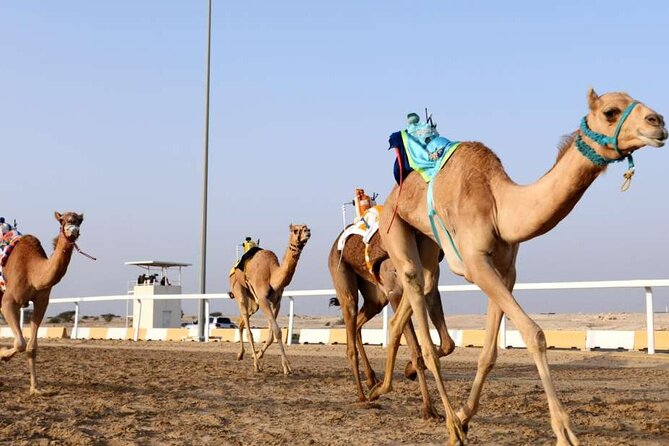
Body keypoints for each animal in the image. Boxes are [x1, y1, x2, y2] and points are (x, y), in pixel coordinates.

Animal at [0, 210, 85, 394]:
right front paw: (3, 355)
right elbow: (20, 343)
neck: (32, 271)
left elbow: (31, 348)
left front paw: (35, 388)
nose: (72, 229)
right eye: (62, 220)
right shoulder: (8, 301)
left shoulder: (42, 301)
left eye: (79, 221)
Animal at [228, 223, 312, 372]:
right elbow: (277, 331)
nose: (308, 232)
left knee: (241, 321)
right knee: (248, 328)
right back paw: (256, 365)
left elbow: (272, 334)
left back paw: (241, 354)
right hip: (239, 289)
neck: (273, 274)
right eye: (296, 230)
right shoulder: (263, 299)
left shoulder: (276, 301)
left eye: (306, 227)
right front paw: (286, 367)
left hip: (254, 302)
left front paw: (258, 355)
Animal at [328, 228, 454, 420]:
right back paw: (362, 396)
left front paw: (409, 371)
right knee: (351, 337)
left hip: (376, 299)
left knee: (357, 325)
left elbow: (447, 344)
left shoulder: (429, 288)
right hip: (344, 281)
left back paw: (372, 380)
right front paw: (429, 409)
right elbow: (415, 349)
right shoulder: (395, 292)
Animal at [368, 88, 664, 446]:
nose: (658, 122)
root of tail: (392, 194)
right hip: (394, 226)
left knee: (415, 296)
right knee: (418, 310)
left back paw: (380, 389)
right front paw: (565, 433)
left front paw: (466, 416)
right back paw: (447, 423)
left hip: (427, 244)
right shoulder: (476, 264)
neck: (499, 205)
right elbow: (534, 333)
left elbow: (489, 353)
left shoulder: (506, 271)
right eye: (610, 111)